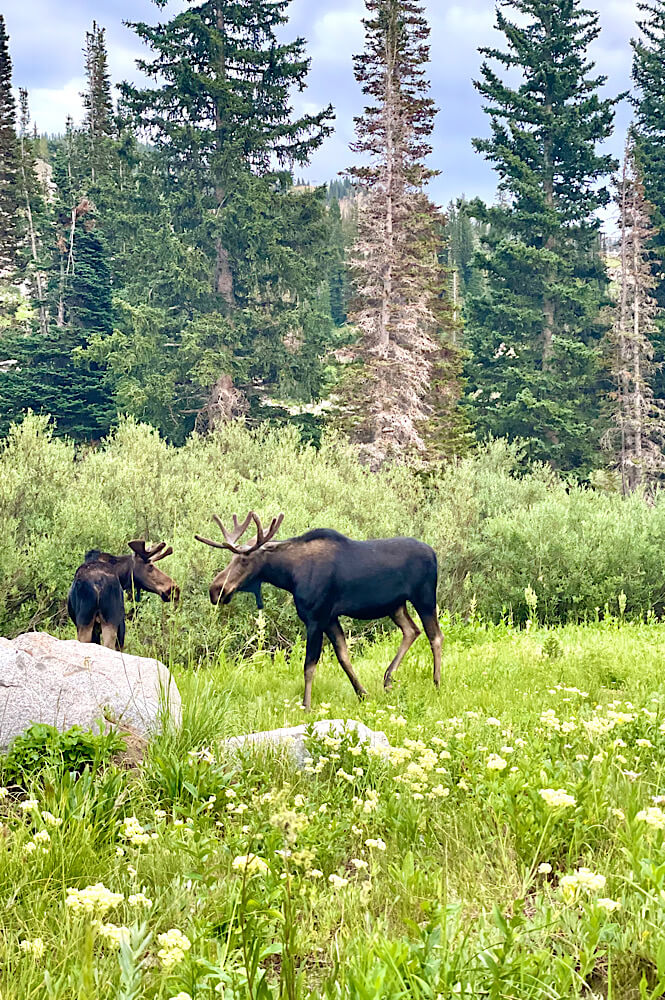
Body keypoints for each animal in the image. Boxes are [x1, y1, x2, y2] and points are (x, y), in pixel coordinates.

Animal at [195, 512, 444, 708]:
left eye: (245, 559)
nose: (215, 590)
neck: (289, 576)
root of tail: (434, 554)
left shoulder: (315, 617)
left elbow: (309, 665)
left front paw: (306, 706)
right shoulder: (330, 617)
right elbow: (343, 657)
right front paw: (362, 694)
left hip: (424, 597)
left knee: (435, 636)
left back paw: (436, 683)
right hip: (396, 605)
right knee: (411, 631)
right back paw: (388, 679)